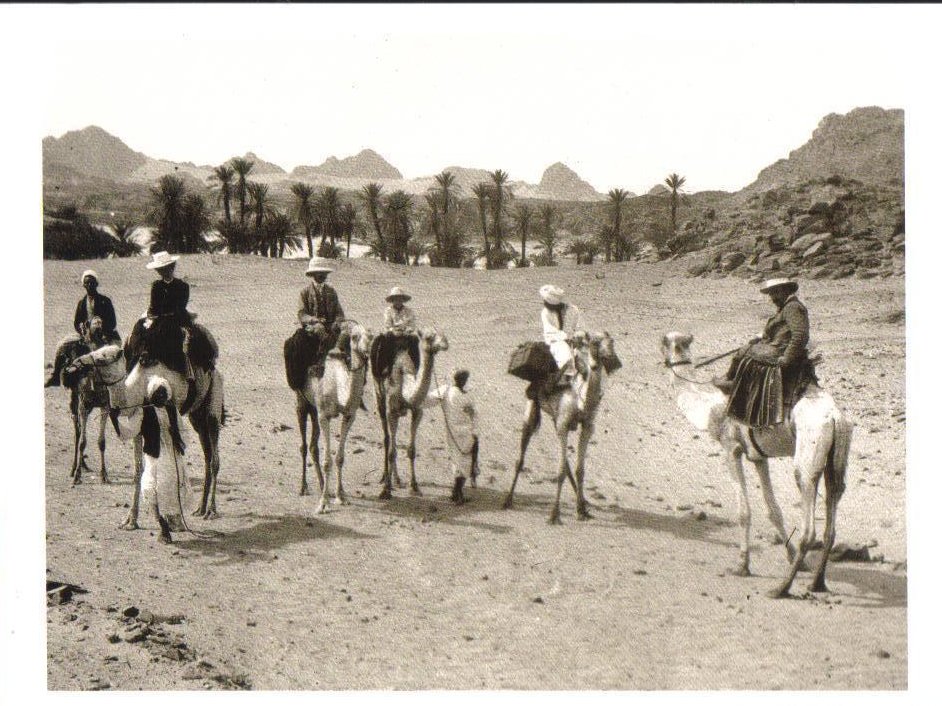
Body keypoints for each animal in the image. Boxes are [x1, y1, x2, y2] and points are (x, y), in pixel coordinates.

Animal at [294, 320, 374, 512]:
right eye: (355, 337)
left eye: (371, 335)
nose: (368, 349)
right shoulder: (325, 416)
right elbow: (327, 461)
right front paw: (323, 503)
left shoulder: (349, 415)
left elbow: (339, 457)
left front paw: (340, 495)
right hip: (303, 402)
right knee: (304, 445)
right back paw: (304, 487)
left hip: (314, 409)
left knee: (313, 446)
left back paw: (325, 486)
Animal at [372, 328, 450, 498]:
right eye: (429, 337)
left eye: (442, 334)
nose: (445, 343)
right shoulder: (391, 412)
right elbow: (392, 451)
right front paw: (386, 490)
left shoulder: (417, 411)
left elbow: (411, 450)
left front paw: (414, 486)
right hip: (379, 396)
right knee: (387, 439)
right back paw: (385, 478)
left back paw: (397, 479)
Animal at [502, 330, 620, 524]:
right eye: (595, 342)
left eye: (612, 342)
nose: (610, 357)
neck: (581, 400)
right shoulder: (564, 424)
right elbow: (559, 471)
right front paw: (554, 514)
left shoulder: (587, 428)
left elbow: (580, 470)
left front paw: (581, 511)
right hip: (532, 407)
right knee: (521, 457)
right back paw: (507, 500)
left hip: (555, 418)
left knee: (566, 462)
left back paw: (584, 504)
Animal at [664, 332, 856, 596]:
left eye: (664, 341)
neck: (708, 406)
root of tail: (835, 418)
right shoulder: (758, 456)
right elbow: (773, 510)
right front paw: (796, 560)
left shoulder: (731, 448)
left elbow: (744, 512)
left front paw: (742, 565)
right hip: (836, 458)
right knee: (832, 515)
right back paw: (817, 582)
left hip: (809, 453)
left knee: (808, 523)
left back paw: (781, 588)